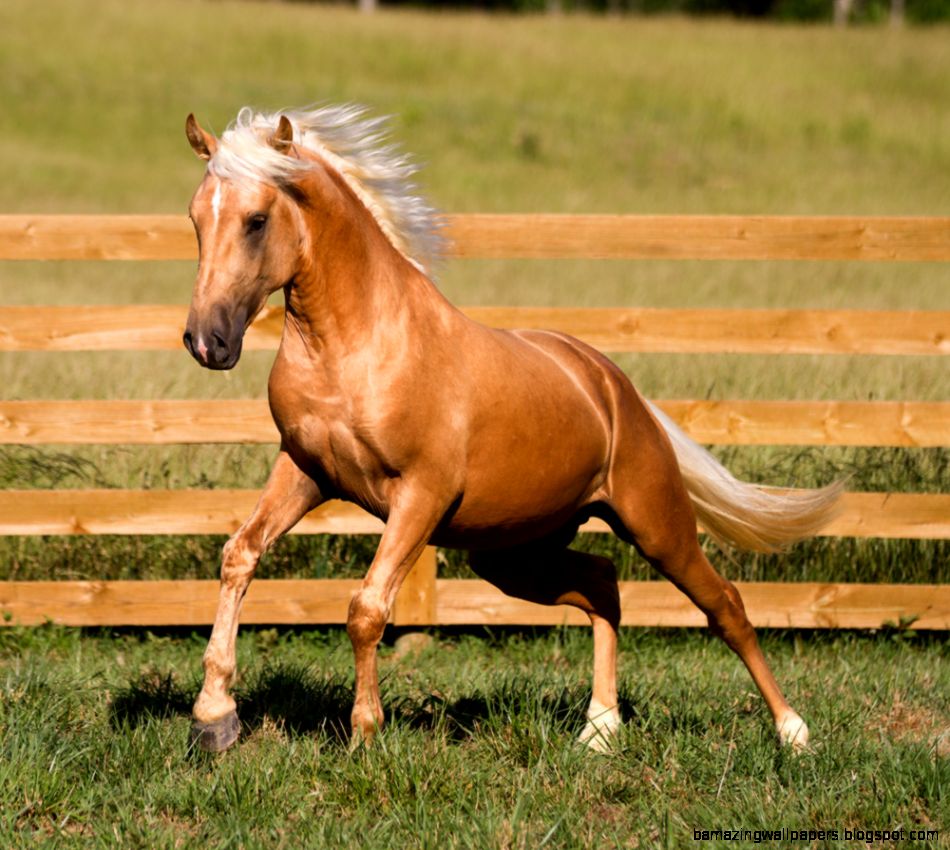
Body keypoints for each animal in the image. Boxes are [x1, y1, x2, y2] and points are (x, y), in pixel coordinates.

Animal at [182, 104, 841, 755]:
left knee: (724, 604)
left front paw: (365, 734)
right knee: (603, 584)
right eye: (195, 218)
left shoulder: (420, 494)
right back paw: (600, 729)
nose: (207, 341)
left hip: (656, 526)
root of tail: (614, 386)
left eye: (257, 220)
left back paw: (792, 731)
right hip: (513, 554)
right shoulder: (305, 471)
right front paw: (214, 718)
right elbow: (240, 555)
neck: (356, 345)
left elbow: (367, 607)